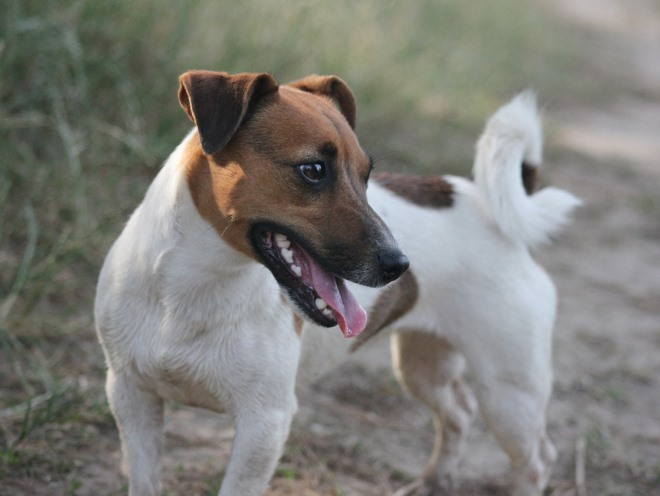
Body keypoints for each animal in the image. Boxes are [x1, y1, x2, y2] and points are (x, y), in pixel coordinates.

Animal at [95, 70, 580, 496]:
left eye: (366, 174)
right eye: (313, 170)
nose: (400, 264)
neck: (192, 288)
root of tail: (488, 209)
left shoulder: (264, 425)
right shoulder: (131, 397)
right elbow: (144, 481)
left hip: (510, 395)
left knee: (537, 461)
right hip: (423, 366)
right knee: (458, 414)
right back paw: (432, 482)